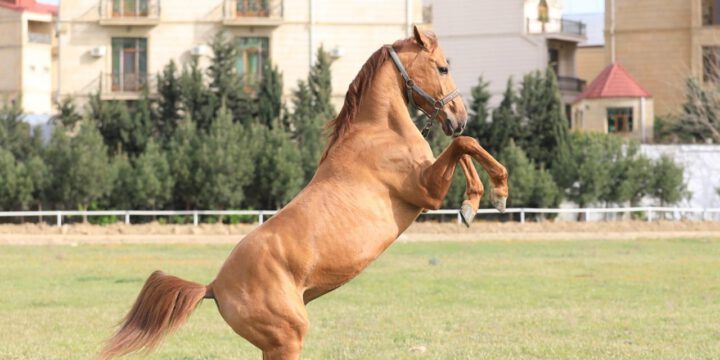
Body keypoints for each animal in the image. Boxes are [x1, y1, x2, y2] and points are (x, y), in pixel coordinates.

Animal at [100, 27, 506, 360]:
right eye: (442, 68)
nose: (458, 117)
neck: (379, 131)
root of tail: (213, 286)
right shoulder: (425, 192)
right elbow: (465, 146)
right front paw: (495, 193)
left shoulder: (428, 183)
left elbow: (462, 149)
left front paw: (472, 205)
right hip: (287, 340)